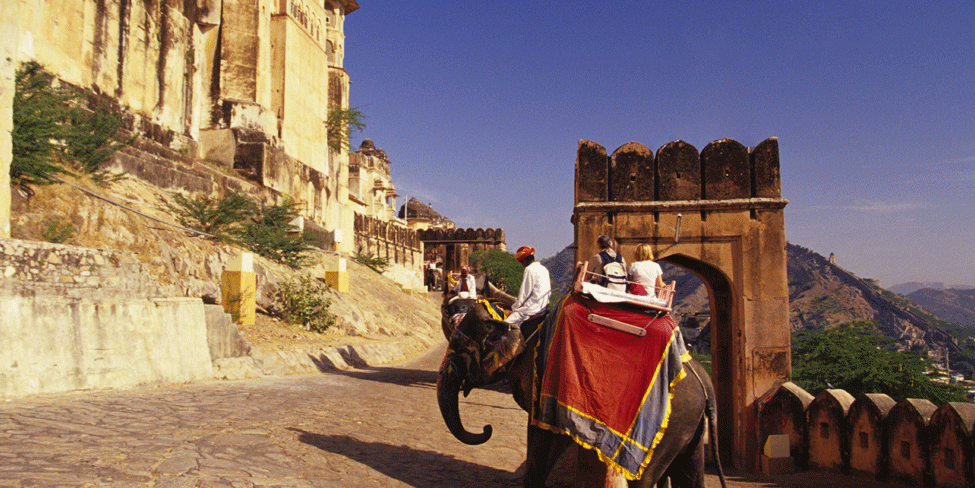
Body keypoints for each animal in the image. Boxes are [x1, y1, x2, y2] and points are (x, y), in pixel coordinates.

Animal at [434, 284, 724, 486]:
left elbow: (541, 438)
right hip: (689, 426)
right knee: (690, 474)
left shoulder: (542, 380)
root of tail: (705, 382)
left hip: (669, 423)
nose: (487, 428)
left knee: (644, 479)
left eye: (460, 348)